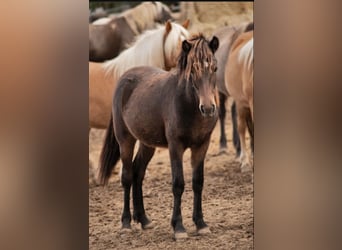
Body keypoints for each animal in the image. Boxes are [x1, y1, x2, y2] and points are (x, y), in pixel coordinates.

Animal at [99, 34, 219, 239]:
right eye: (192, 71)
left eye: (214, 68)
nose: (208, 108)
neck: (188, 105)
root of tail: (124, 77)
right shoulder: (175, 147)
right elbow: (178, 184)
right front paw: (179, 227)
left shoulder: (202, 145)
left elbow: (198, 182)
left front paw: (201, 224)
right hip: (125, 140)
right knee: (127, 176)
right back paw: (126, 222)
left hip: (147, 144)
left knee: (138, 172)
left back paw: (144, 220)